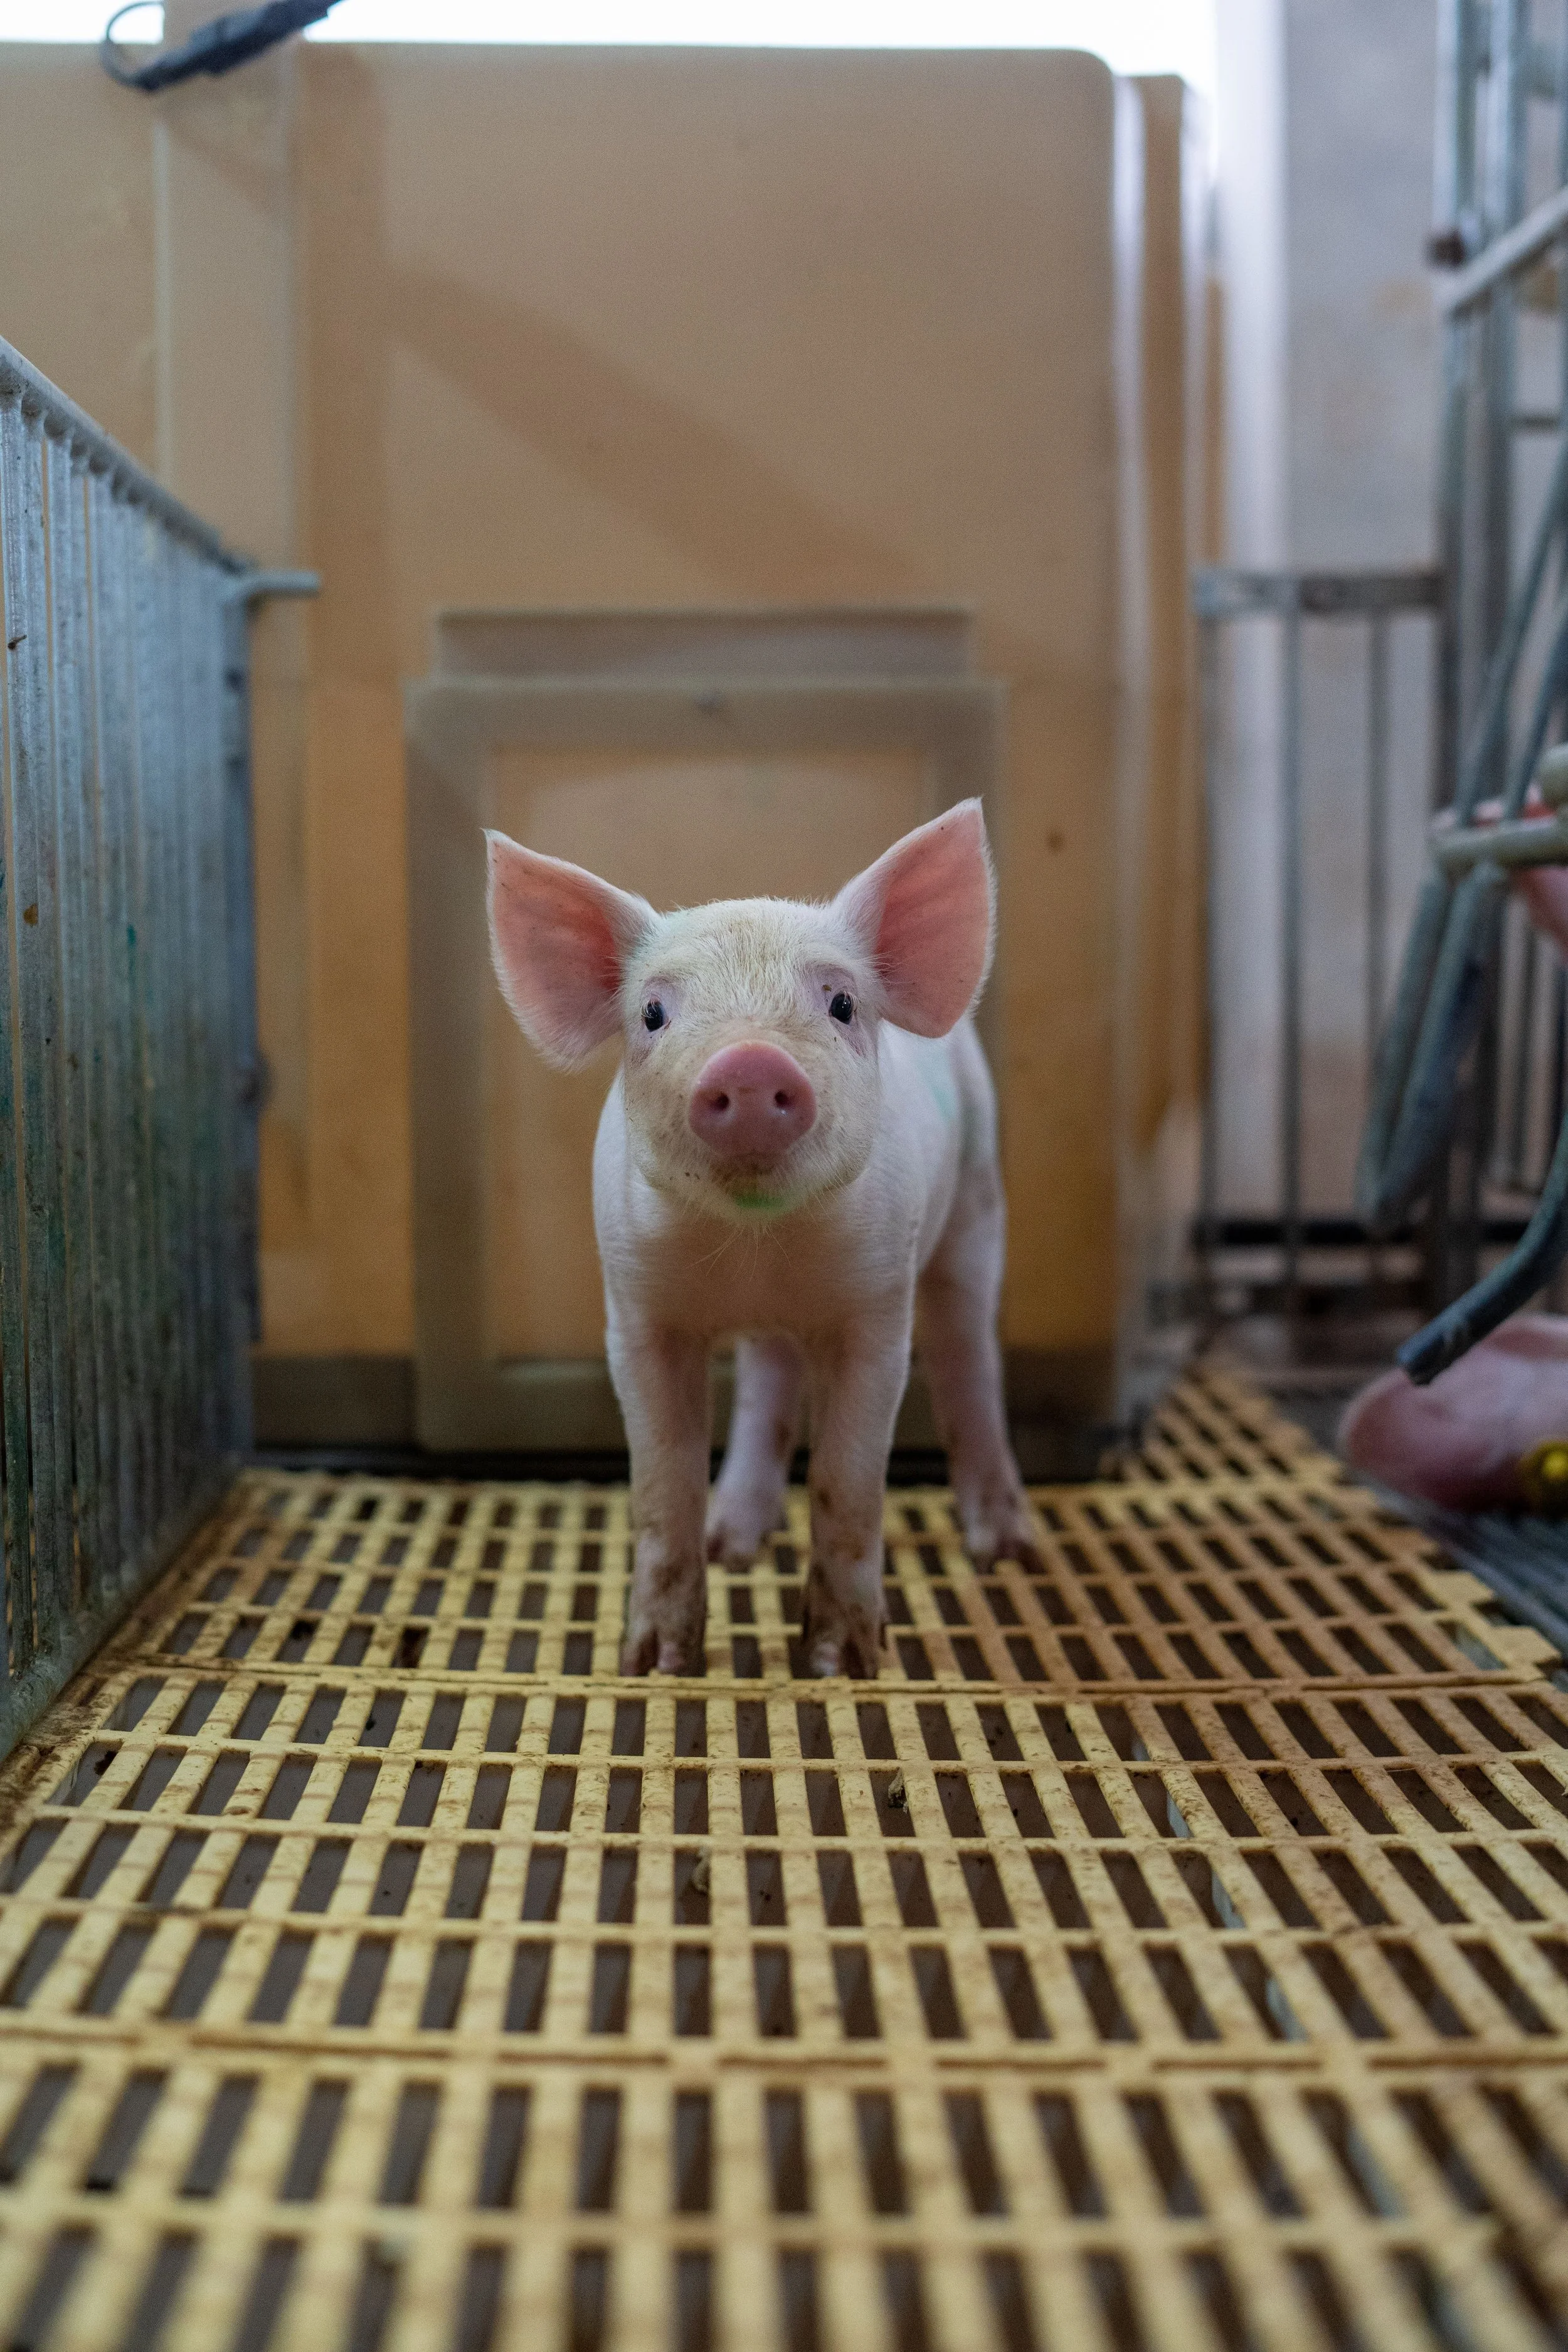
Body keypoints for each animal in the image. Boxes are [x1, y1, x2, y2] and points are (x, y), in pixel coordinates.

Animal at [485, 799, 1042, 1676]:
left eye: (841, 1005)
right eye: (653, 1013)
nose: (748, 1063)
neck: (758, 1250)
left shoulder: (877, 1309)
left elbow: (850, 1480)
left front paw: (841, 1666)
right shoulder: (636, 1311)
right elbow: (662, 1485)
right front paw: (655, 1665)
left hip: (979, 1200)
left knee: (968, 1358)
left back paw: (1006, 1553)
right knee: (768, 1379)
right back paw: (733, 1543)